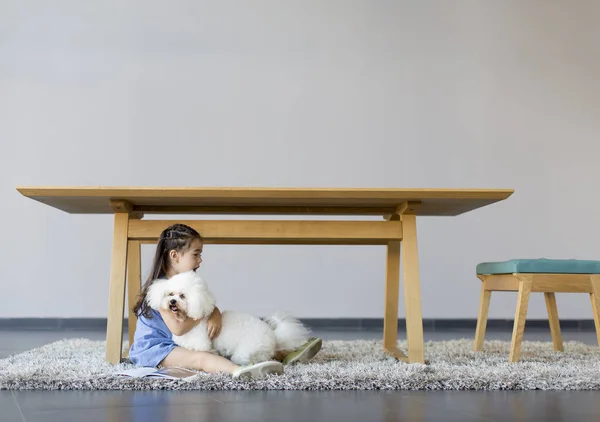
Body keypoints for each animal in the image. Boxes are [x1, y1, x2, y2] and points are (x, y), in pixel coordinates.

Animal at [146, 272, 310, 364]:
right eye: (170, 293)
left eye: (182, 296)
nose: (172, 302)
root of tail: (273, 336)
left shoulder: (200, 344)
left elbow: (197, 347)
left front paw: (213, 352)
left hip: (247, 351)